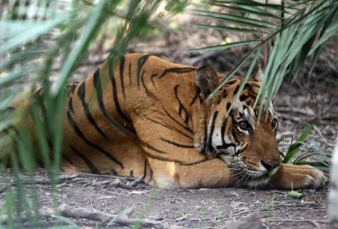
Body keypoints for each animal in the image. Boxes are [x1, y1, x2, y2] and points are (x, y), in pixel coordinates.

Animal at [1, 52, 326, 189]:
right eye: (243, 125)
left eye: (274, 124)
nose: (271, 161)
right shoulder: (181, 166)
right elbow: (252, 173)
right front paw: (310, 173)